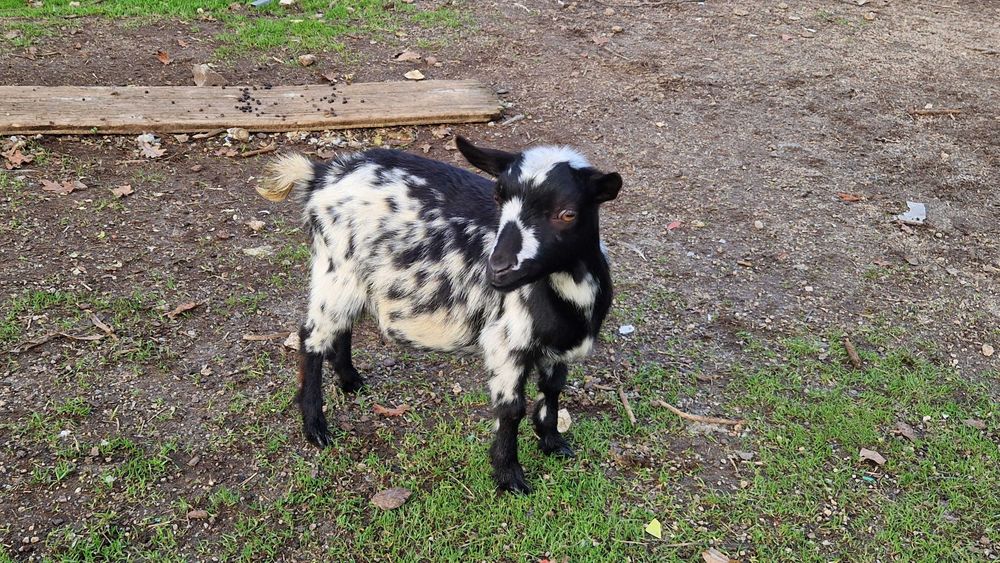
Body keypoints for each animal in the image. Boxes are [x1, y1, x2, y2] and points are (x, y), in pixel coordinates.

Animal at [257, 137, 622, 493]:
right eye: (498, 197)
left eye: (567, 213)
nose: (497, 269)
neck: (569, 299)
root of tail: (322, 174)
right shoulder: (506, 344)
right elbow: (511, 409)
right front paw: (509, 476)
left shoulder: (558, 348)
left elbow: (553, 388)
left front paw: (552, 441)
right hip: (336, 268)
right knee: (311, 338)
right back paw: (315, 427)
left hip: (353, 278)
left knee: (341, 326)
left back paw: (350, 380)